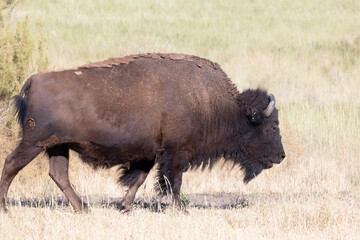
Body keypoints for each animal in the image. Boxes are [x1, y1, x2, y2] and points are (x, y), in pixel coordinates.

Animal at [0, 52, 284, 212]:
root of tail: (32, 80)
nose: (281, 156)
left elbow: (139, 179)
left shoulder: (150, 153)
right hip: (34, 143)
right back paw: (5, 208)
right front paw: (181, 210)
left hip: (57, 146)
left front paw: (125, 207)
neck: (215, 103)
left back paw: (83, 209)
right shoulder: (176, 153)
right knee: (11, 164)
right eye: (271, 126)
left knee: (59, 175)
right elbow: (173, 181)